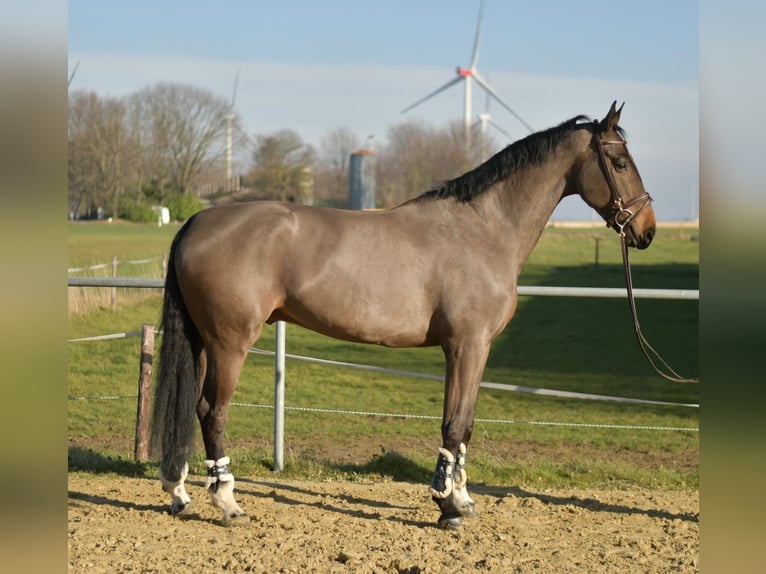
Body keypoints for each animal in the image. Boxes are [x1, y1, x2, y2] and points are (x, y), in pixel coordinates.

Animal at [150, 102, 655, 528]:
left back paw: (179, 492)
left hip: (202, 342)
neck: (484, 229)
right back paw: (227, 503)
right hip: (229, 343)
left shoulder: (471, 348)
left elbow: (464, 423)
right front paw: (448, 506)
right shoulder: (467, 345)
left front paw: (460, 500)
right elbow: (454, 424)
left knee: (190, 409)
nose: (647, 230)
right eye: (621, 163)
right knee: (212, 412)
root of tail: (196, 221)